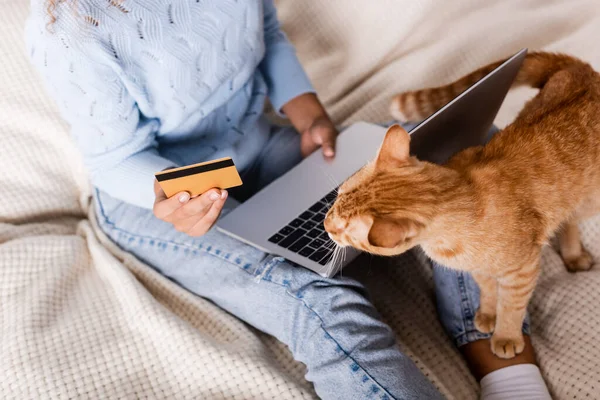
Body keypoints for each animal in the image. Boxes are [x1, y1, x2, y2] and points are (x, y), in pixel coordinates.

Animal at [326, 51, 596, 358]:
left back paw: (573, 255)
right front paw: (488, 314)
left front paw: (505, 335)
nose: (324, 224)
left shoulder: (522, 270)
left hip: (589, 198)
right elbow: (488, 289)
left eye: (342, 231)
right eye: (336, 196)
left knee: (571, 218)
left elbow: (511, 306)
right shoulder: (477, 268)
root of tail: (580, 69)